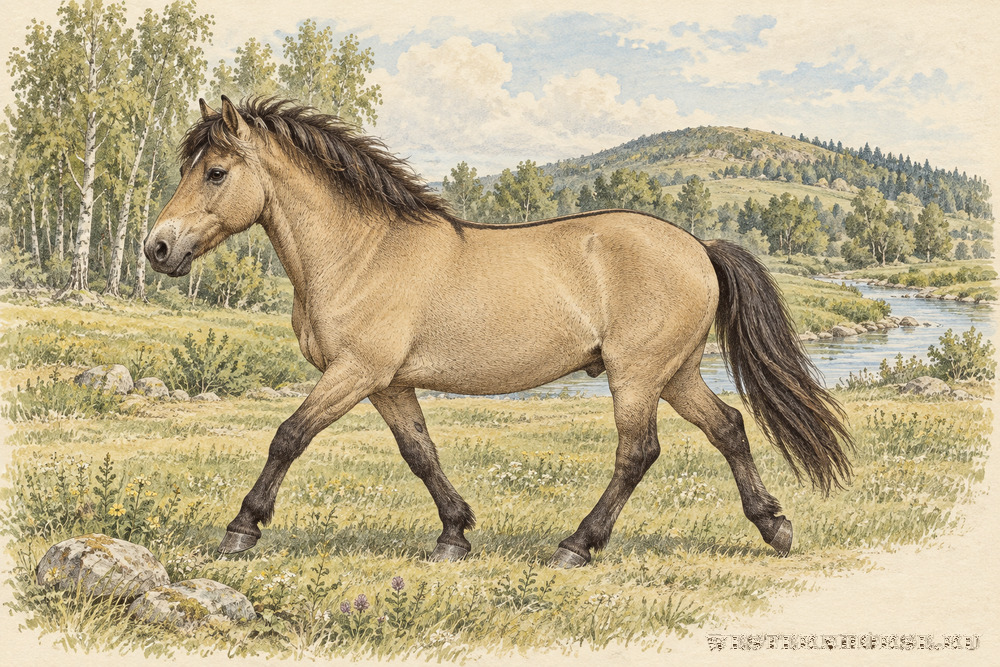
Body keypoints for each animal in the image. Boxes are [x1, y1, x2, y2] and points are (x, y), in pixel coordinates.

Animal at [144, 96, 852, 568]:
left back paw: (576, 546)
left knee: (638, 453)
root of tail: (699, 247)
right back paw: (774, 527)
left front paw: (241, 530)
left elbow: (288, 437)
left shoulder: (355, 373)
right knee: (728, 427)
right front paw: (453, 536)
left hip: (637, 375)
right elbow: (421, 455)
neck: (363, 252)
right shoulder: (387, 384)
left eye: (214, 172)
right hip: (674, 374)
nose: (158, 248)